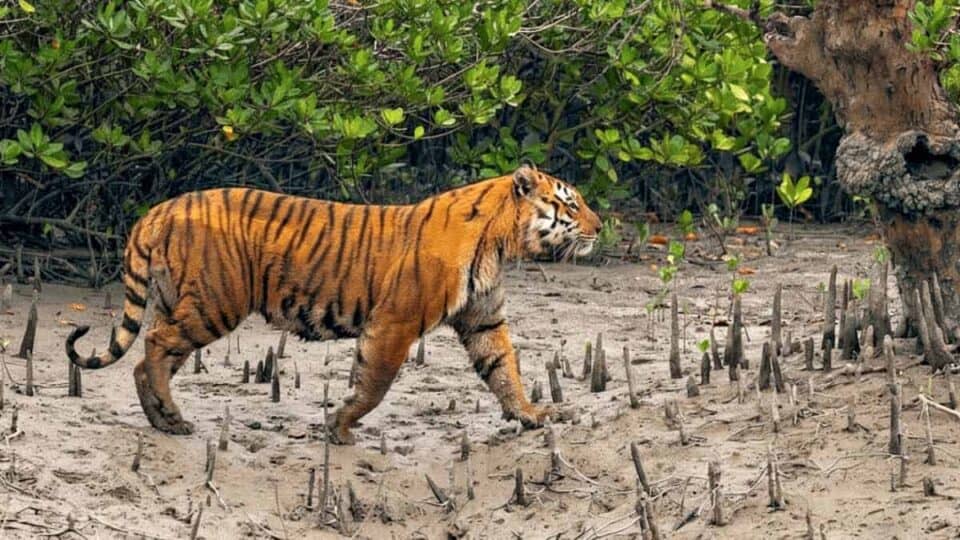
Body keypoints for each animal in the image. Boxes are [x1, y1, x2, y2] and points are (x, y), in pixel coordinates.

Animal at [66, 164, 602, 444]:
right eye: (570, 204)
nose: (600, 228)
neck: (499, 243)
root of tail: (156, 211)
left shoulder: (483, 320)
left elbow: (504, 370)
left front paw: (533, 415)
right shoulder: (395, 322)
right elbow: (375, 383)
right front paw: (340, 426)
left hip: (181, 302)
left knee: (146, 359)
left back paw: (161, 418)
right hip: (216, 303)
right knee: (155, 345)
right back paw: (173, 419)